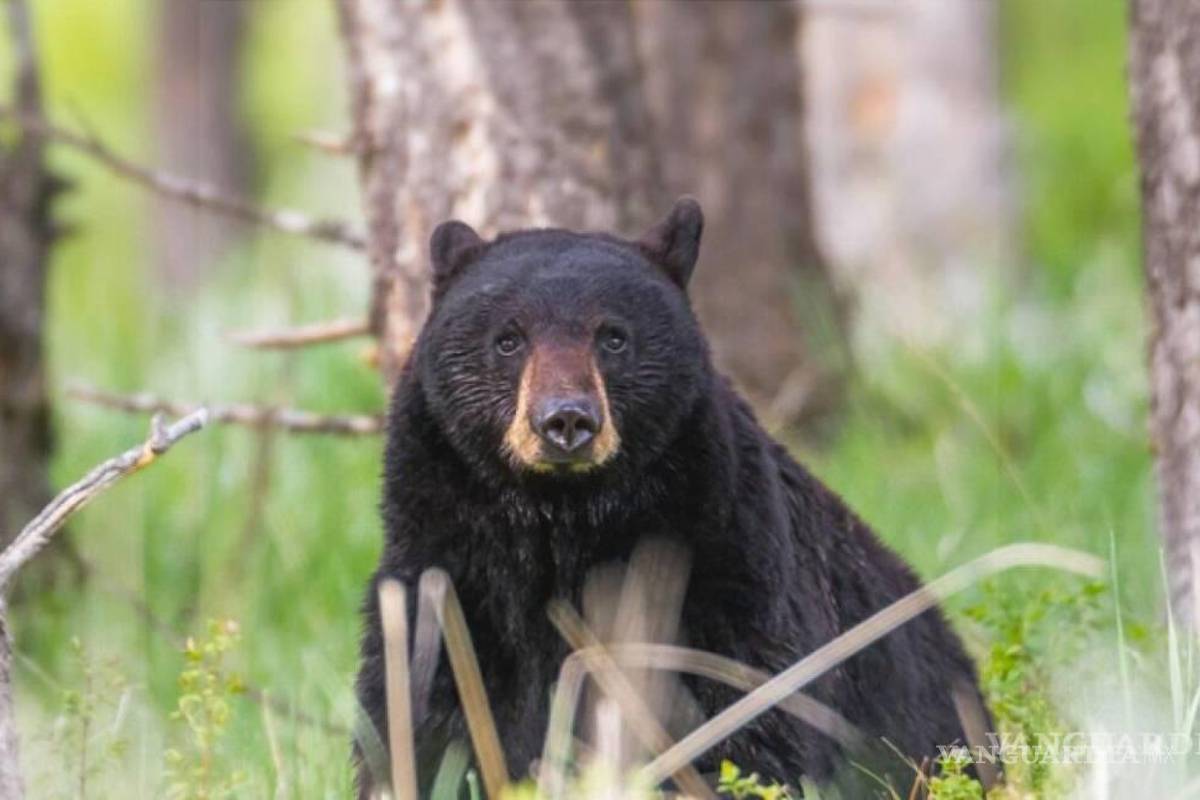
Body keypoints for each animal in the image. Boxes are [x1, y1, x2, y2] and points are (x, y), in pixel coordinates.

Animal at [354, 198, 990, 797]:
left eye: (613, 337)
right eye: (508, 339)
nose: (566, 421)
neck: (561, 522)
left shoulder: (723, 559)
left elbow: (747, 708)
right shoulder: (448, 570)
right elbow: (419, 707)